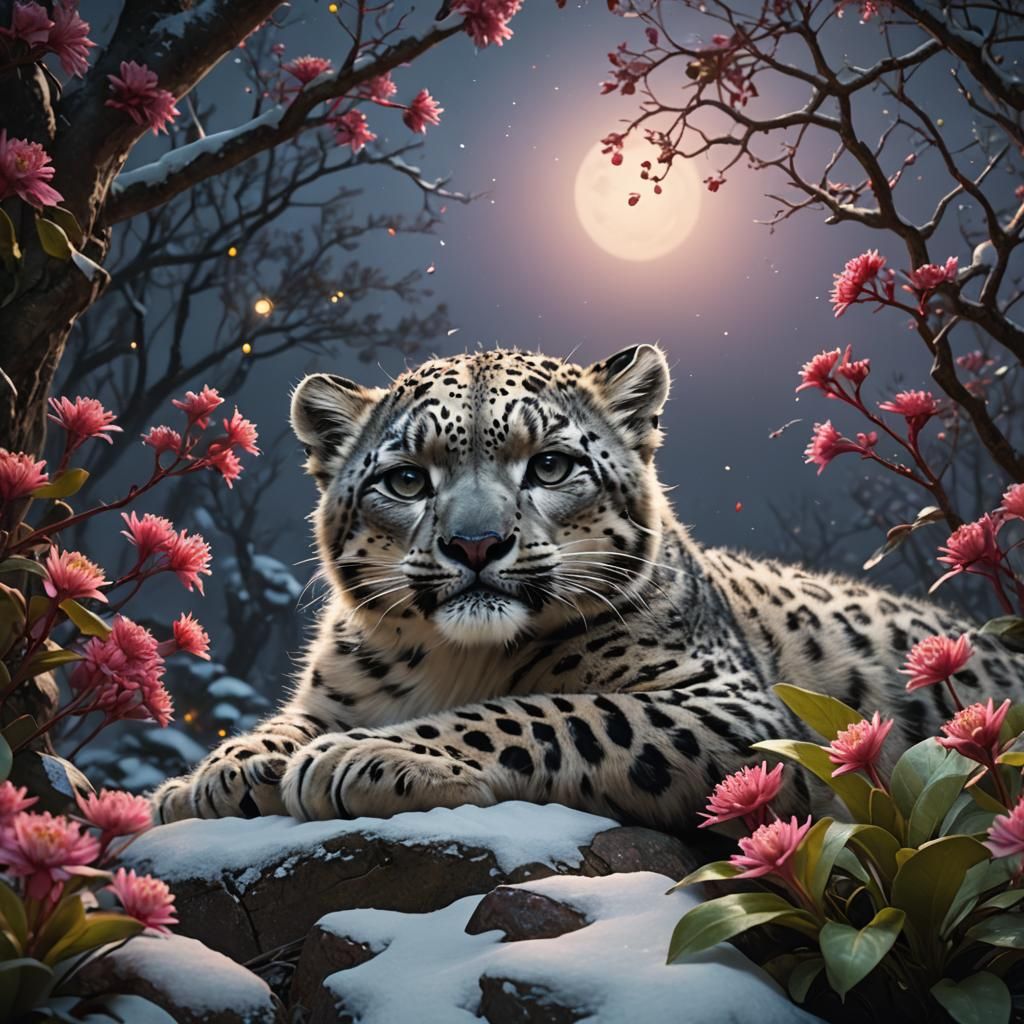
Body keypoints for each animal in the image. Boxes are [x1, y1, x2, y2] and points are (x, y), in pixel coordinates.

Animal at [152, 344, 1024, 831]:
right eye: (405, 479)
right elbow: (283, 725)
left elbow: (552, 712)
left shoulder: (730, 707)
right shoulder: (331, 693)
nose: (476, 544)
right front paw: (214, 775)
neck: (454, 660)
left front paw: (365, 755)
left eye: (550, 466)